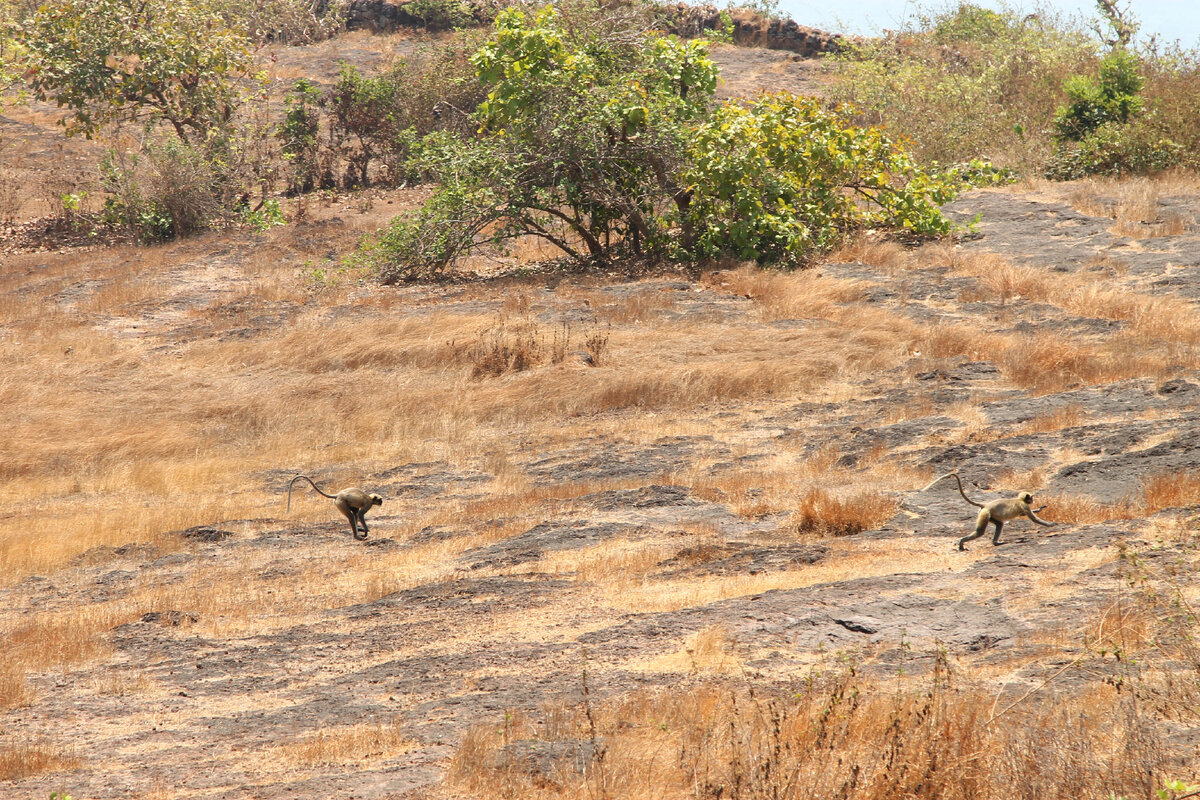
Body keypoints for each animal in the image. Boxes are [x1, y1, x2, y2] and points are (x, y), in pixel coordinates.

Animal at [921, 472, 1056, 554]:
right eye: (1031, 498)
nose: (1032, 500)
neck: (1019, 500)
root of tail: (985, 505)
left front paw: (1040, 509)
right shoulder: (1024, 506)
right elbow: (1033, 519)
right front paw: (1052, 524)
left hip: (989, 516)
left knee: (999, 524)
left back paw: (995, 542)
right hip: (985, 514)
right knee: (980, 532)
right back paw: (962, 542)